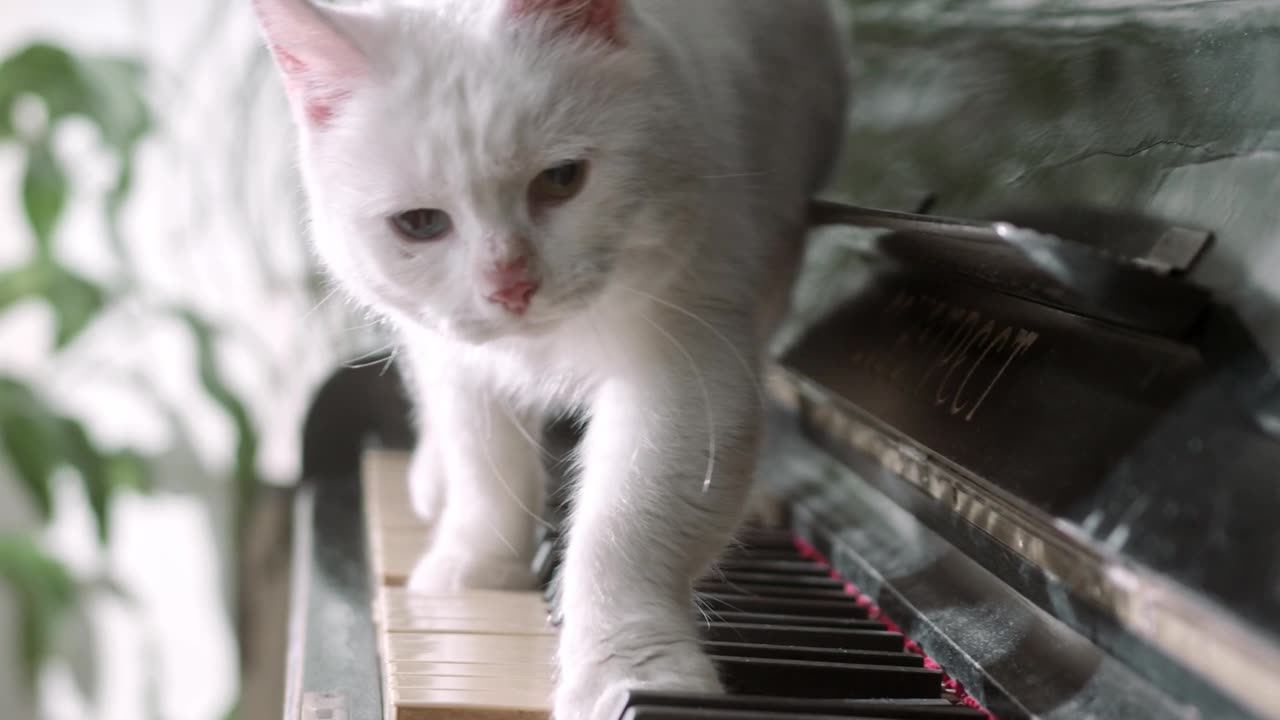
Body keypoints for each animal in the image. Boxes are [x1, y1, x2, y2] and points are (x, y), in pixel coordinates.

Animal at [253, 1, 844, 712]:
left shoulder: (687, 370)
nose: (510, 286)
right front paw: (479, 566)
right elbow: (484, 467)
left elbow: (625, 530)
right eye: (419, 224)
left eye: (561, 180)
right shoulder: (458, 360)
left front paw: (629, 677)